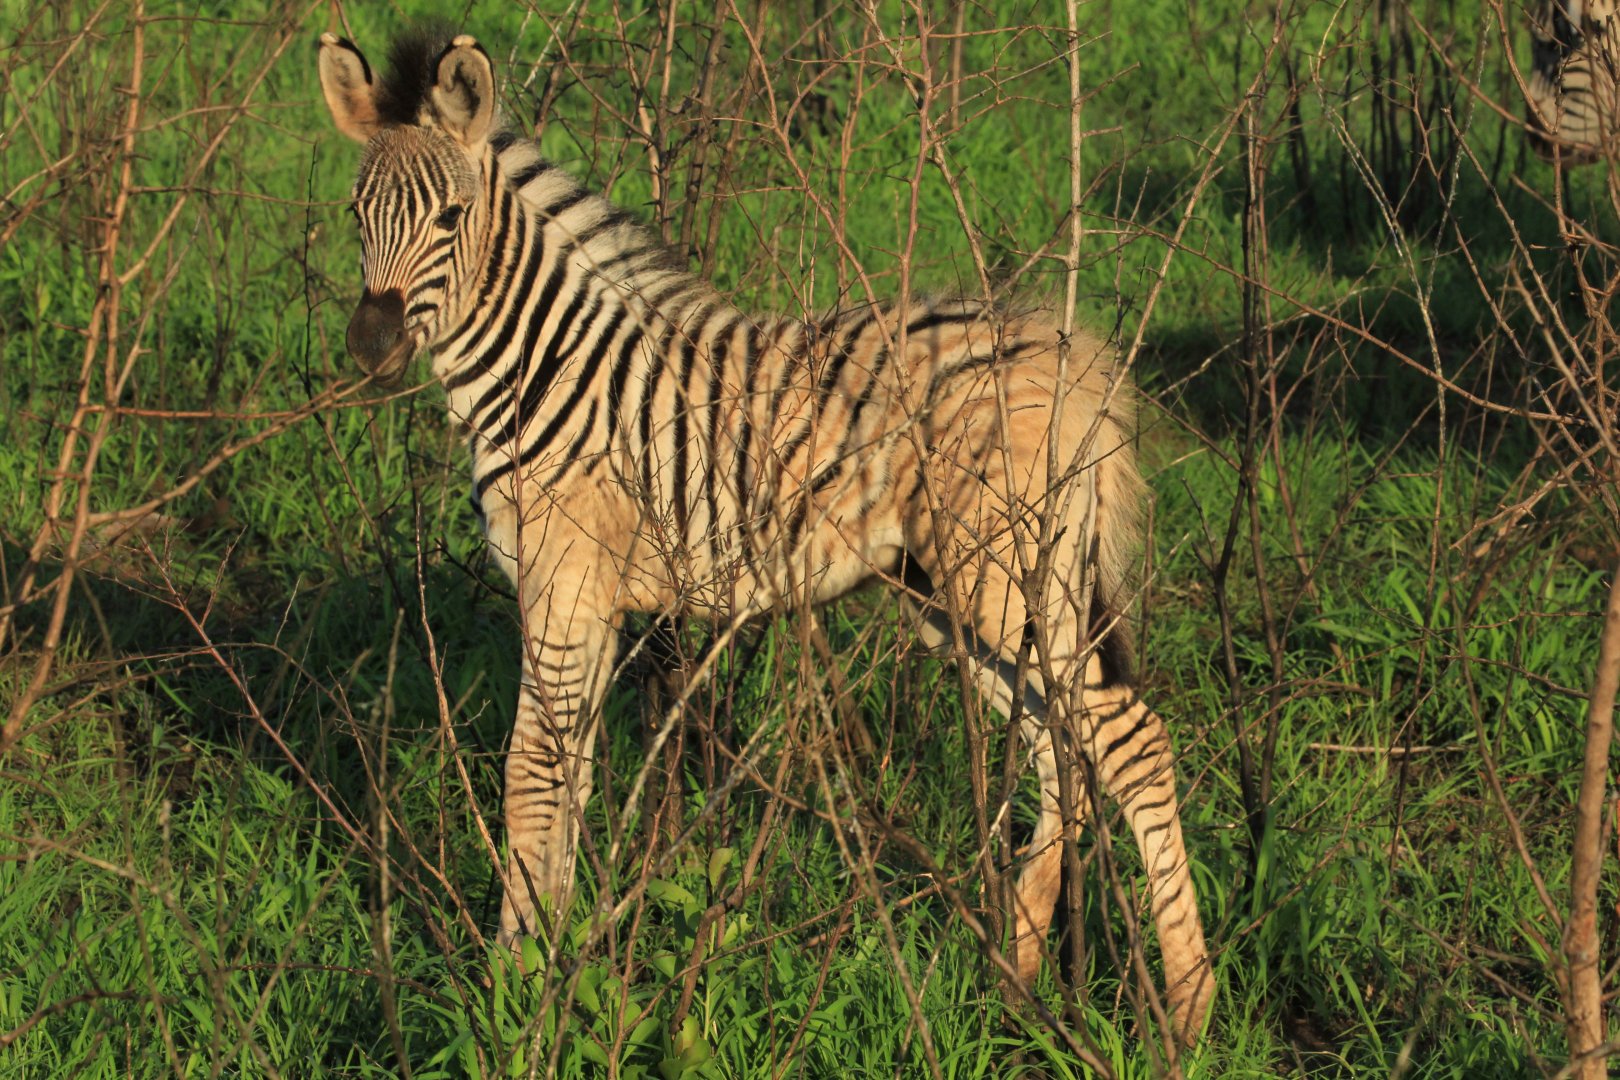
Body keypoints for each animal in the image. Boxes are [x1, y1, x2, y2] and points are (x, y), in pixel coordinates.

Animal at [317, 28, 1213, 1047]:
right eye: (356, 214)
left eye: (450, 216)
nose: (370, 345)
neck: (542, 368)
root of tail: (1073, 357)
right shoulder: (590, 601)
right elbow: (568, 779)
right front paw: (552, 958)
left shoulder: (562, 580)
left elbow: (528, 777)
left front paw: (516, 980)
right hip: (957, 591)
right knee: (1055, 746)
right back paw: (1016, 978)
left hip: (1007, 573)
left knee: (1131, 742)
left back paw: (1187, 1014)